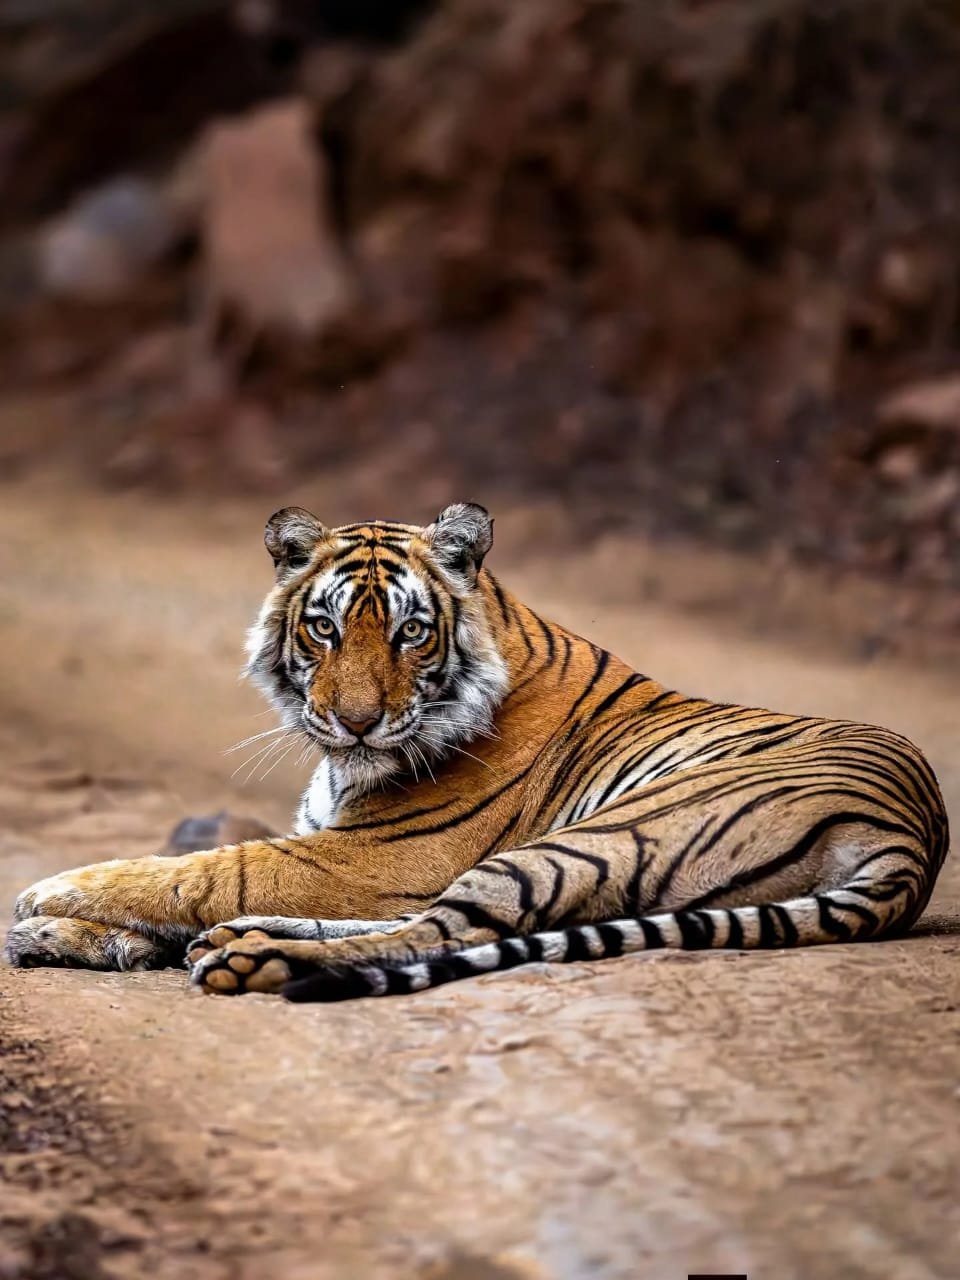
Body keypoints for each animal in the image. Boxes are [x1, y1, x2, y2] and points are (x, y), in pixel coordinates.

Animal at [4, 502, 951, 1001]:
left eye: (411, 633)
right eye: (325, 628)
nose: (355, 722)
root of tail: (914, 837)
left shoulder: (371, 856)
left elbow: (203, 870)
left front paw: (46, 897)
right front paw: (59, 934)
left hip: (593, 838)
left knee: (440, 929)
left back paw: (254, 955)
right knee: (442, 927)